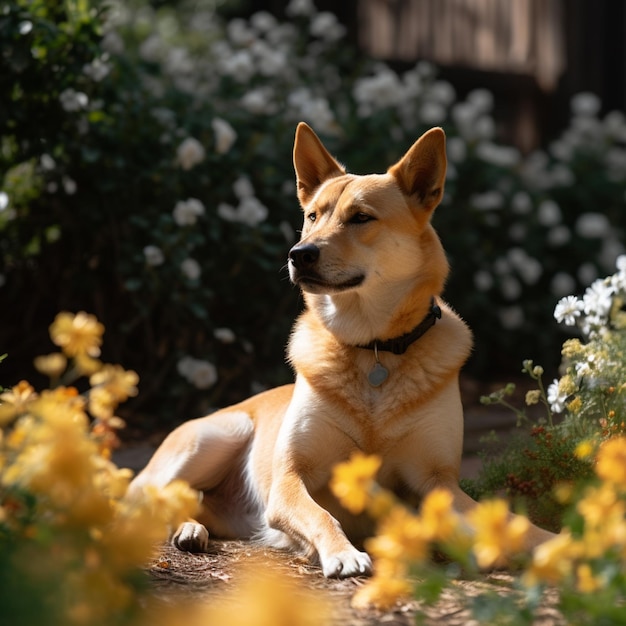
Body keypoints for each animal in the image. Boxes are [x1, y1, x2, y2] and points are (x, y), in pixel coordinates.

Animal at [128, 122, 552, 576]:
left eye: (361, 218)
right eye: (312, 216)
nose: (299, 254)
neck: (373, 347)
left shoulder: (437, 482)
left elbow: (509, 524)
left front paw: (552, 544)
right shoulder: (290, 479)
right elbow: (321, 514)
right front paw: (343, 553)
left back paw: (194, 528)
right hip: (216, 437)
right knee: (150, 501)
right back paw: (181, 530)